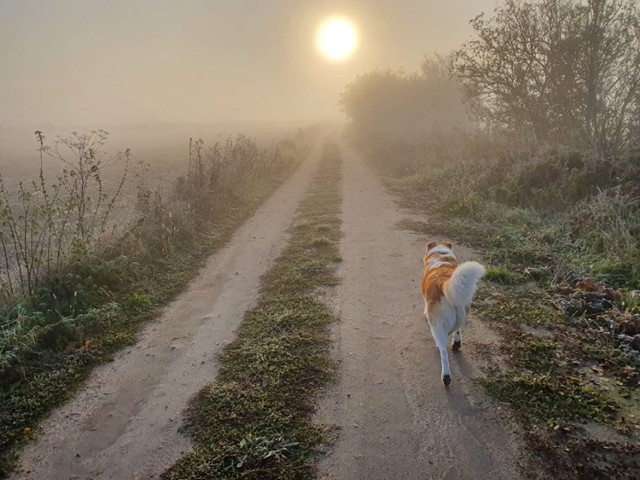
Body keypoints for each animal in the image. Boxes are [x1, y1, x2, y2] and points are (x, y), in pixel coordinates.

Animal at [420, 240, 484, 386]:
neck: (441, 255)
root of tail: (443, 282)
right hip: (462, 312)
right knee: (458, 330)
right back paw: (456, 344)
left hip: (437, 327)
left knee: (443, 352)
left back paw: (446, 376)